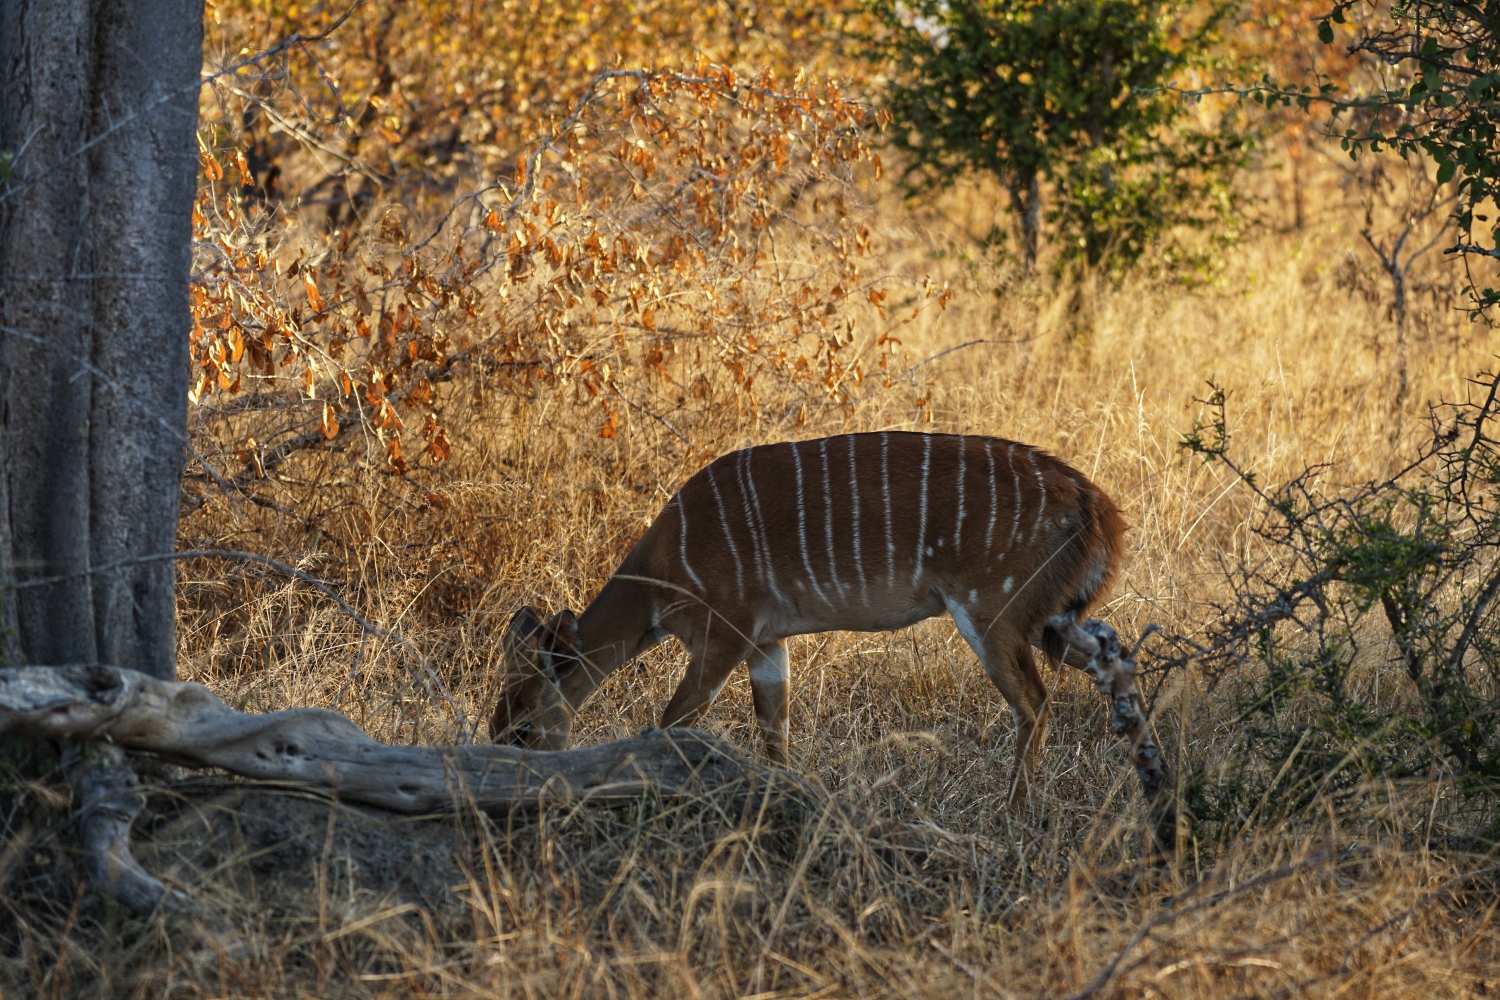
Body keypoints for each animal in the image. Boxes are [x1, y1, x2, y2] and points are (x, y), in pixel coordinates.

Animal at [492, 431, 1128, 797]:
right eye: (497, 725)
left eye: (522, 728)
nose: (514, 777)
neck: (666, 565)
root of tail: (1096, 505)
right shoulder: (767, 644)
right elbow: (775, 733)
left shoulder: (724, 634)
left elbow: (671, 725)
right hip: (1050, 620)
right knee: (1116, 660)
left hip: (991, 609)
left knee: (1035, 701)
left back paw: (1014, 809)